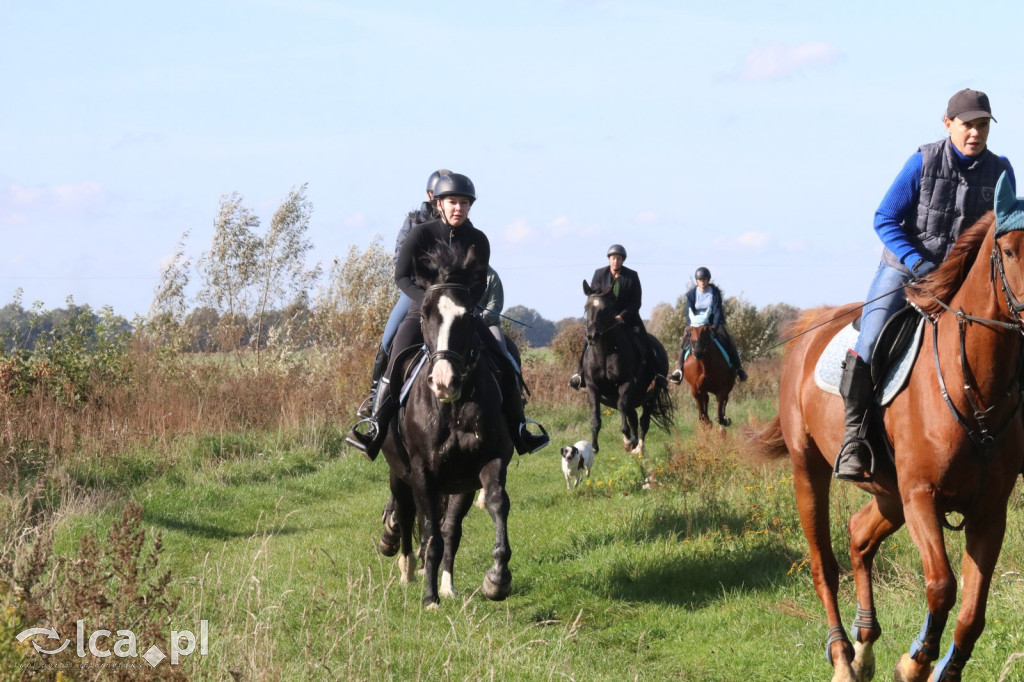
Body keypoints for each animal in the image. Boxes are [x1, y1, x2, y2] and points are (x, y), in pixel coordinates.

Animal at [382, 242, 516, 606]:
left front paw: (496, 579)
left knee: (449, 529)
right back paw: (405, 565)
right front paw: (429, 599)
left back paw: (447, 585)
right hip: (399, 472)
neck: (452, 409)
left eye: (468, 315)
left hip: (458, 486)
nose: (444, 381)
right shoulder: (422, 472)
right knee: (405, 512)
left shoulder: (487, 462)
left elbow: (495, 504)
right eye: (425, 314)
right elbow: (429, 532)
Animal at [749, 212, 1024, 679]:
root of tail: (809, 328)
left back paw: (864, 646)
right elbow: (942, 587)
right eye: (1008, 250)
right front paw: (913, 664)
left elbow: (972, 613)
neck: (971, 387)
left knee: (859, 535)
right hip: (810, 470)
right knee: (824, 564)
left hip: (888, 494)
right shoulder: (921, 496)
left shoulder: (989, 511)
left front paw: (942, 669)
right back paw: (843, 656)